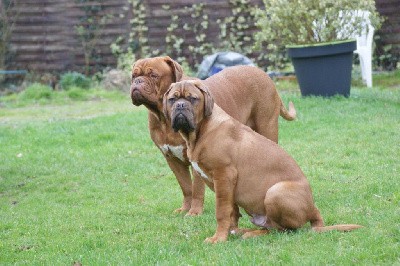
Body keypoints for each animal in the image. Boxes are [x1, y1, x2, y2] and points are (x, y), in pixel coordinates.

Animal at [130, 56, 296, 216]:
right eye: (134, 76)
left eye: (153, 75)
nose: (137, 82)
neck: (164, 119)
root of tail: (264, 74)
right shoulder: (172, 160)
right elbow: (186, 187)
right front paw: (185, 208)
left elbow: (197, 188)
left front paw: (194, 212)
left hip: (267, 128)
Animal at [162, 80, 362, 243]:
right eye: (172, 99)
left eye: (192, 99)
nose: (180, 105)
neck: (202, 131)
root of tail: (314, 210)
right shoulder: (228, 187)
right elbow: (231, 212)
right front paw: (229, 232)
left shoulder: (224, 176)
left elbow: (221, 212)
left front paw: (218, 238)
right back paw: (244, 231)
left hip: (275, 192)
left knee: (283, 230)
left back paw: (252, 234)